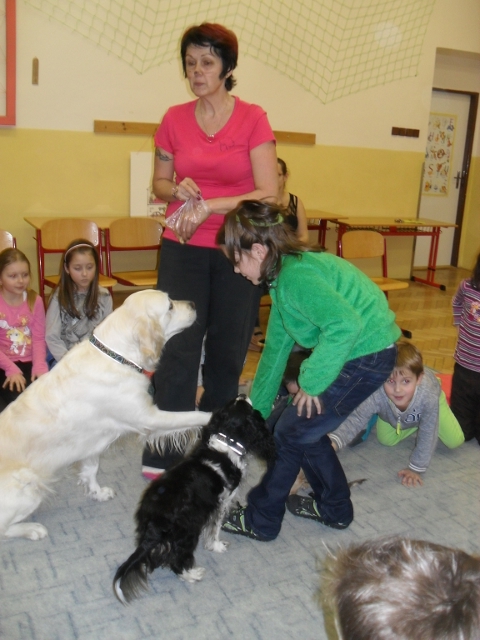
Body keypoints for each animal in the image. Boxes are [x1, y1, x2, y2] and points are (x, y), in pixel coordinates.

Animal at [0, 290, 211, 541]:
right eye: (169, 306)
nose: (194, 304)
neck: (118, 356)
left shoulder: (92, 440)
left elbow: (91, 470)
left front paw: (97, 492)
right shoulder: (148, 418)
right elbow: (192, 416)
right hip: (31, 487)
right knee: (4, 528)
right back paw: (33, 529)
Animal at [113, 395, 276, 604]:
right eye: (245, 406)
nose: (242, 395)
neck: (225, 442)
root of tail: (156, 520)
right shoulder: (222, 502)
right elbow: (215, 529)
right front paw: (217, 546)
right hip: (188, 531)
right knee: (176, 558)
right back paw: (191, 574)